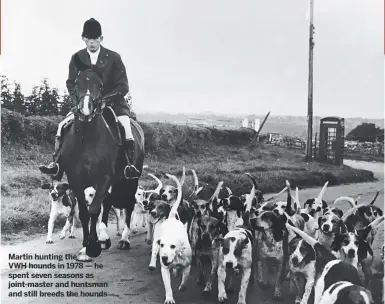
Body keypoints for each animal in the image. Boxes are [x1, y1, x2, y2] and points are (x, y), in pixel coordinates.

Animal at [57, 54, 145, 262]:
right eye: (77, 82)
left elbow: (94, 209)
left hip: (130, 180)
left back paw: (124, 239)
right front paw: (86, 247)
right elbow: (85, 212)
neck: (86, 138)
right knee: (107, 203)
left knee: (128, 206)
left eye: (100, 84)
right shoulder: (76, 178)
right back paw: (105, 236)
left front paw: (92, 246)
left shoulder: (104, 177)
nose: (86, 110)